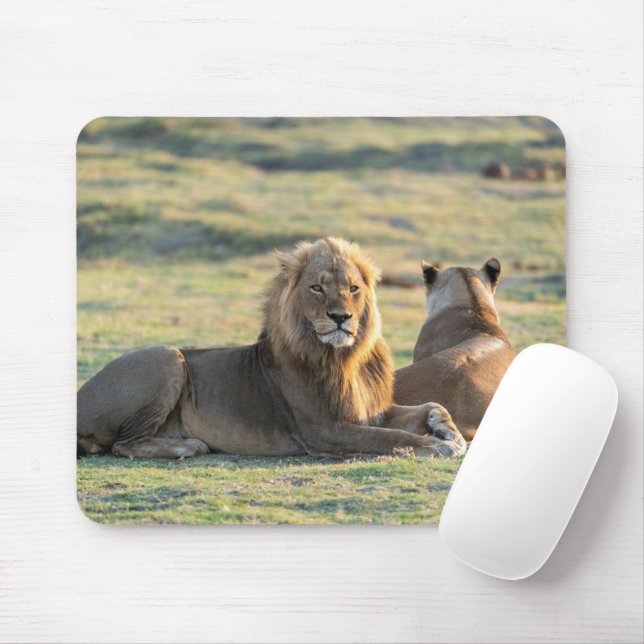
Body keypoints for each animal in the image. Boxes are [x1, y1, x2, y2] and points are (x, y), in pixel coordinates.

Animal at [78, 237, 466, 459]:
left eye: (353, 288)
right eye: (317, 288)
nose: (340, 317)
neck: (346, 358)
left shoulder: (372, 412)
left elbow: (432, 405)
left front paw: (450, 431)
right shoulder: (326, 431)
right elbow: (392, 438)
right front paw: (437, 445)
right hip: (167, 357)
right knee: (124, 445)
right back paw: (187, 446)